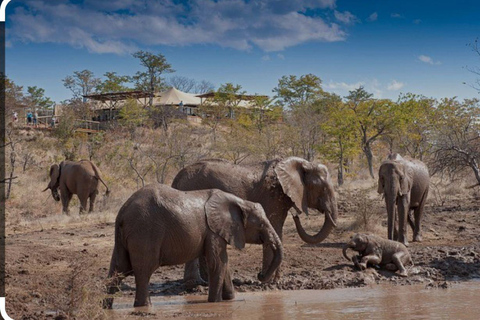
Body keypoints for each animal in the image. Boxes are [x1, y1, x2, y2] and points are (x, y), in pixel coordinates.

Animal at [101, 184, 282, 308]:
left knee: (118, 269)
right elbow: (217, 263)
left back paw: (106, 307)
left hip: (125, 237)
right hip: (145, 232)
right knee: (144, 271)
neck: (239, 202)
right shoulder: (213, 231)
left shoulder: (214, 231)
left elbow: (224, 263)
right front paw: (215, 303)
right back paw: (144, 307)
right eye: (260, 224)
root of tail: (122, 212)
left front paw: (229, 300)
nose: (260, 275)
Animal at [172, 158, 338, 288]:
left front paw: (275, 281)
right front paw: (270, 283)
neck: (302, 164)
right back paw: (195, 283)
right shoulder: (272, 196)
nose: (296, 215)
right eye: (323, 189)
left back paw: (204, 282)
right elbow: (274, 228)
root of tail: (176, 179)